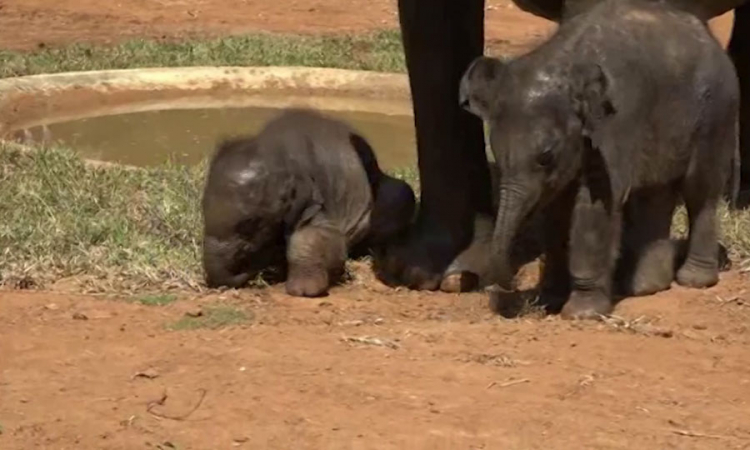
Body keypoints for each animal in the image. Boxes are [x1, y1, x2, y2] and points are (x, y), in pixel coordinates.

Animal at [201, 108, 418, 298]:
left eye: (249, 224)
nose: (250, 273)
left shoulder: (314, 195)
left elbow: (318, 234)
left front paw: (304, 290)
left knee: (401, 194)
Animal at [462, 0, 744, 318]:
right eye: (496, 153)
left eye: (545, 157)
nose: (509, 285)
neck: (564, 64)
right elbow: (557, 206)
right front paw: (550, 299)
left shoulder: (614, 125)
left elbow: (594, 204)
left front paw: (580, 314)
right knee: (654, 193)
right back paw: (645, 287)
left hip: (717, 112)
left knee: (700, 191)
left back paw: (694, 281)